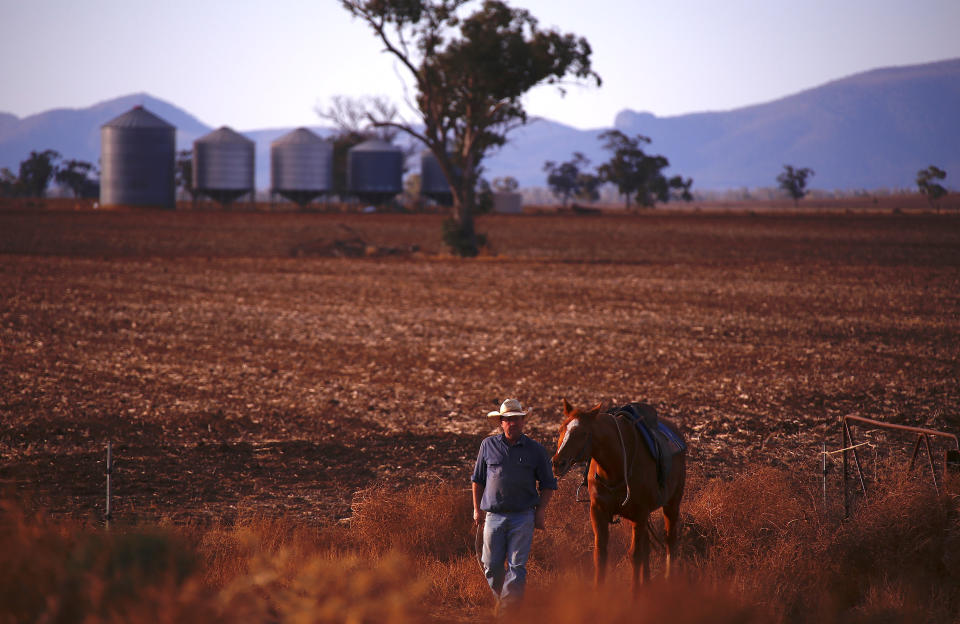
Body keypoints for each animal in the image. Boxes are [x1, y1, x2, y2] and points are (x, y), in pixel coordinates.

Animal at [552, 400, 688, 596]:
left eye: (583, 433)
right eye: (561, 428)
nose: (557, 463)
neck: (615, 465)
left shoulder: (640, 513)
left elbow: (635, 555)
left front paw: (634, 596)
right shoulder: (598, 511)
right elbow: (601, 554)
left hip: (671, 504)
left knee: (670, 540)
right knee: (647, 547)